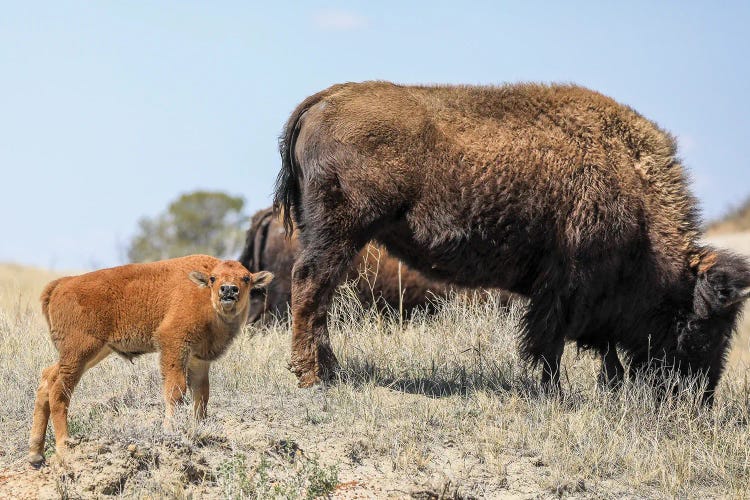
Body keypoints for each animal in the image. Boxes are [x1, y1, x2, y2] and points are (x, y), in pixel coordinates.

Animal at [30, 256, 276, 466]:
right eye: (214, 278)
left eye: (246, 278)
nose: (228, 290)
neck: (203, 293)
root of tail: (62, 284)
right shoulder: (173, 345)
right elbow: (176, 390)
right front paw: (170, 430)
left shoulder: (199, 359)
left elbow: (201, 395)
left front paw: (200, 428)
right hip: (79, 353)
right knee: (59, 392)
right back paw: (64, 449)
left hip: (92, 353)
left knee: (46, 379)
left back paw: (36, 454)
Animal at [278, 82, 750, 402]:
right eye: (700, 325)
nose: (701, 398)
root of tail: (323, 99)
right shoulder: (565, 288)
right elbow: (551, 345)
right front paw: (555, 393)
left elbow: (595, 348)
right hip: (341, 231)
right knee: (310, 285)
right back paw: (311, 376)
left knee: (320, 294)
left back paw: (330, 370)